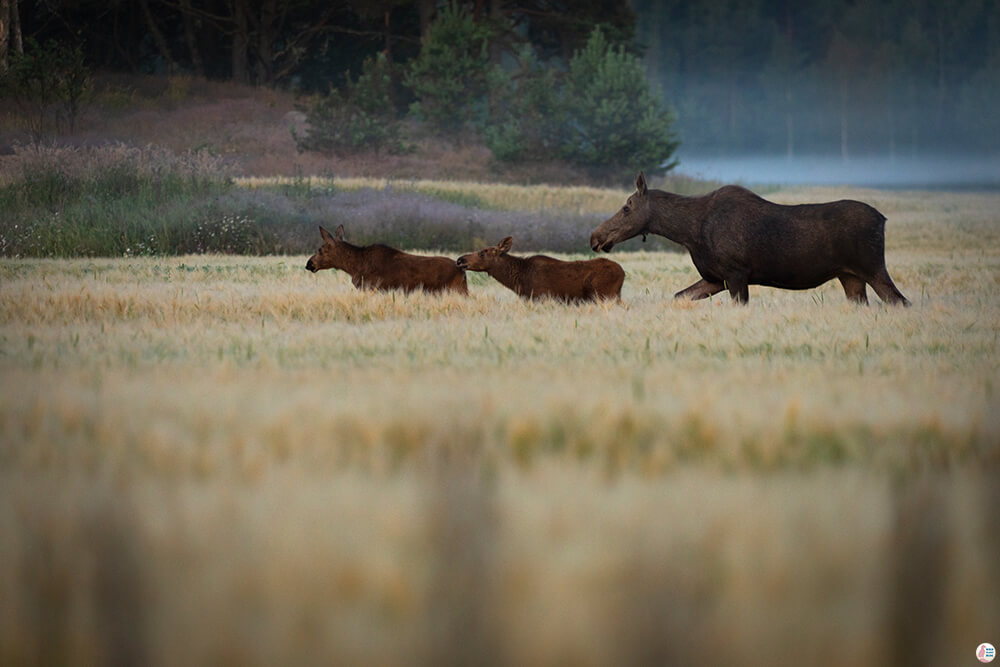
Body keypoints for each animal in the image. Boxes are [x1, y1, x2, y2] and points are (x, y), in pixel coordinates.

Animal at [456, 236, 624, 302]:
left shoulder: (540, 297)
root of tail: (623, 273)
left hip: (605, 294)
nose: (460, 260)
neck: (519, 280)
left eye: (482, 252)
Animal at [588, 172, 912, 308]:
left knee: (901, 301)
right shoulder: (715, 277)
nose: (595, 236)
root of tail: (883, 220)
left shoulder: (736, 272)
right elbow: (680, 296)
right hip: (850, 276)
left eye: (627, 206)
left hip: (872, 267)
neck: (689, 233)